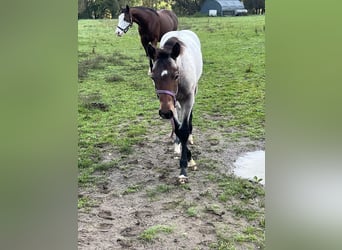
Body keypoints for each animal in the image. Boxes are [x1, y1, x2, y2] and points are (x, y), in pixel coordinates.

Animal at [148, 30, 203, 184]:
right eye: (153, 77)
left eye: (176, 75)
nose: (165, 113)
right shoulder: (168, 104)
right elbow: (177, 129)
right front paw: (187, 157)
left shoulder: (188, 99)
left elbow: (184, 129)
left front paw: (184, 168)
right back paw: (177, 144)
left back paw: (190, 136)